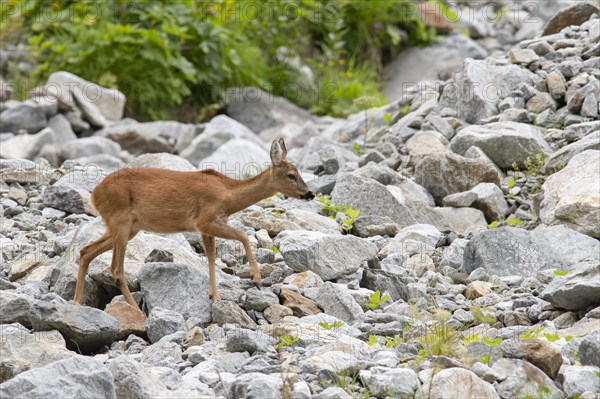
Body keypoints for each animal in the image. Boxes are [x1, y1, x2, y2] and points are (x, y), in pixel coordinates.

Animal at [72, 139, 312, 314]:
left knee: (86, 251)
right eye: (292, 175)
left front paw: (215, 296)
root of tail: (94, 194)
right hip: (121, 222)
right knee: (116, 269)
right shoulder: (205, 219)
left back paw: (76, 302)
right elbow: (243, 236)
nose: (309, 193)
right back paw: (137, 312)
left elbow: (211, 257)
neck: (229, 195)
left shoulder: (206, 228)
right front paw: (256, 278)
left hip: (127, 227)